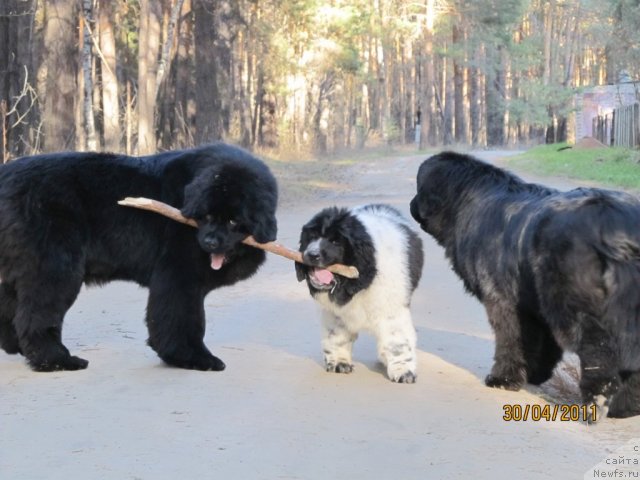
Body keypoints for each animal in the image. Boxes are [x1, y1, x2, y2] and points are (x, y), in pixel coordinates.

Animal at [0, 144, 278, 374]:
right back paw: (57, 360)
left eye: (233, 221)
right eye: (207, 216)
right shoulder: (179, 274)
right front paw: (193, 358)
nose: (210, 242)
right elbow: (183, 318)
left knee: (12, 306)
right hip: (56, 266)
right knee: (36, 314)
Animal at [296, 204, 424, 384]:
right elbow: (337, 335)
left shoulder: (392, 310)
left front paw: (402, 371)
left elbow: (396, 341)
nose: (312, 254)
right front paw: (339, 362)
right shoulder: (336, 313)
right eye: (311, 237)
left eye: (335, 241)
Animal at [410, 152, 640, 418]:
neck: (467, 200)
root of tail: (614, 222)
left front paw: (503, 379)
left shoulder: (501, 299)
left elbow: (511, 340)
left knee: (599, 353)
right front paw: (536, 374)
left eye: (418, 186)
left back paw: (598, 402)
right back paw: (626, 406)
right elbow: (542, 344)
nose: (411, 205)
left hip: (576, 307)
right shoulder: (534, 302)